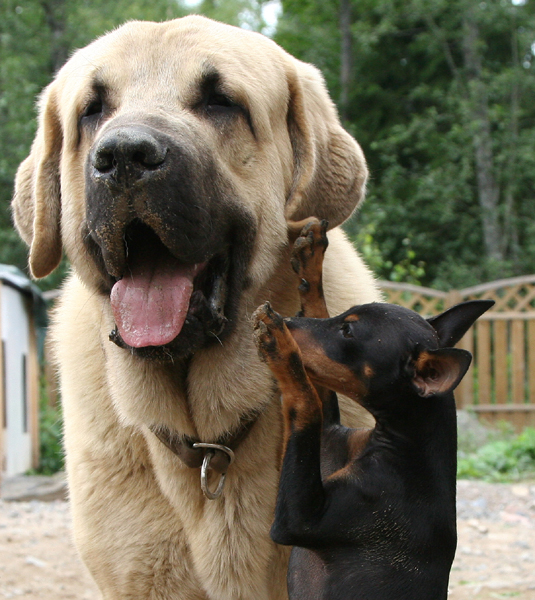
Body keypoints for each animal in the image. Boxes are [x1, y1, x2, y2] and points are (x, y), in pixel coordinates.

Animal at [254, 220, 494, 600]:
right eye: (344, 316)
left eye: (348, 330)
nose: (286, 320)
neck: (399, 444)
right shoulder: (328, 440)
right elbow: (315, 381)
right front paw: (311, 262)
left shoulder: (300, 518)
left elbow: (306, 398)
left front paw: (280, 344)